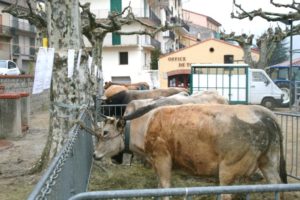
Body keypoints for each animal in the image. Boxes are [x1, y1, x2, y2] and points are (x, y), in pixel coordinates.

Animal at [93, 104, 286, 200]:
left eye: (105, 133)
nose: (94, 154)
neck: (145, 125)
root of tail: (265, 116)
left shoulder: (162, 158)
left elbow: (165, 187)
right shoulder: (155, 161)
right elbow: (158, 186)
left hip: (229, 169)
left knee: (225, 194)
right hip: (268, 161)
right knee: (277, 185)